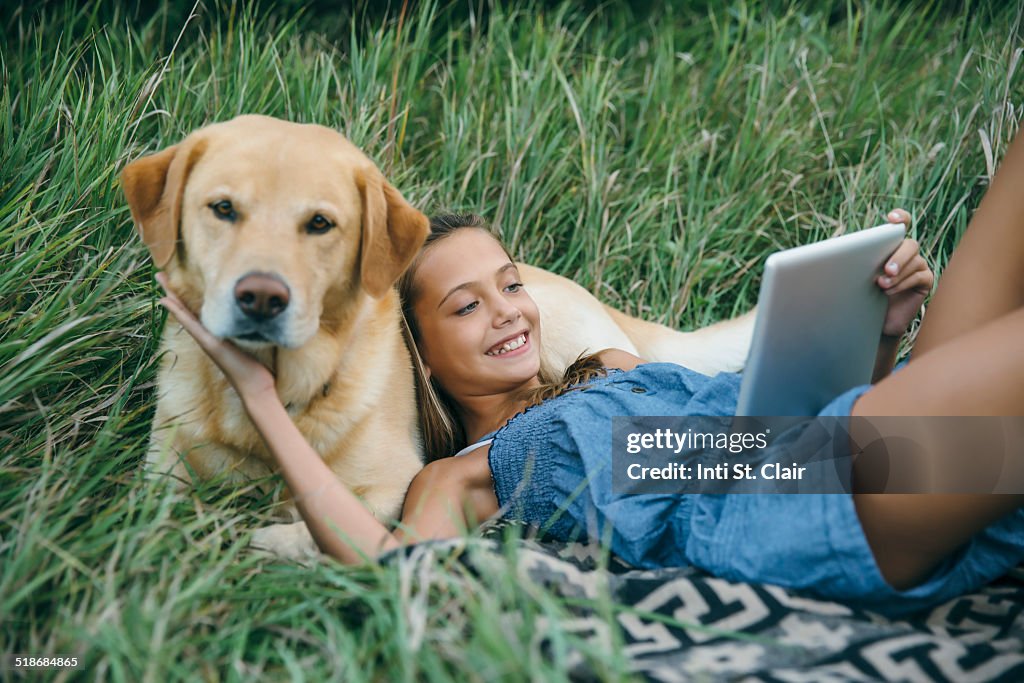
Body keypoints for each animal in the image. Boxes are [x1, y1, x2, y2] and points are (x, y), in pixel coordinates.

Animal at [123, 113, 757, 561]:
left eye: (321, 224)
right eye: (223, 209)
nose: (260, 296)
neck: (282, 398)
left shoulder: (392, 489)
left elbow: (298, 532)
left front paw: (247, 535)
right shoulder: (159, 475)